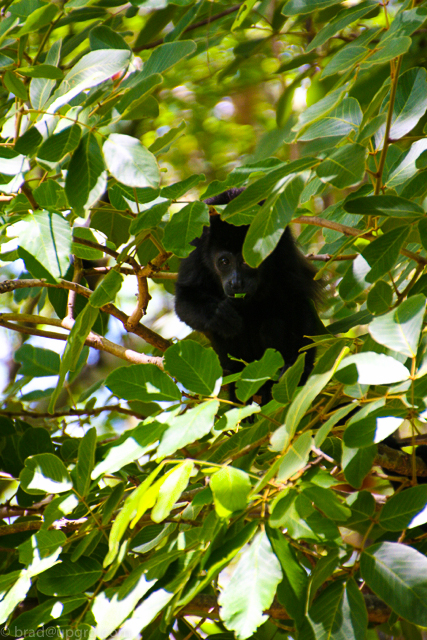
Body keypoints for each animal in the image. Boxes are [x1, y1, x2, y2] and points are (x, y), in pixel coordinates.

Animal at [173, 190, 320, 400]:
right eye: (224, 262)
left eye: (247, 261)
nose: (236, 282)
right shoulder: (196, 247)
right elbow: (185, 297)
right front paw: (219, 315)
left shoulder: (282, 248)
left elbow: (297, 301)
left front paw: (300, 369)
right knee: (231, 331)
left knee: (272, 325)